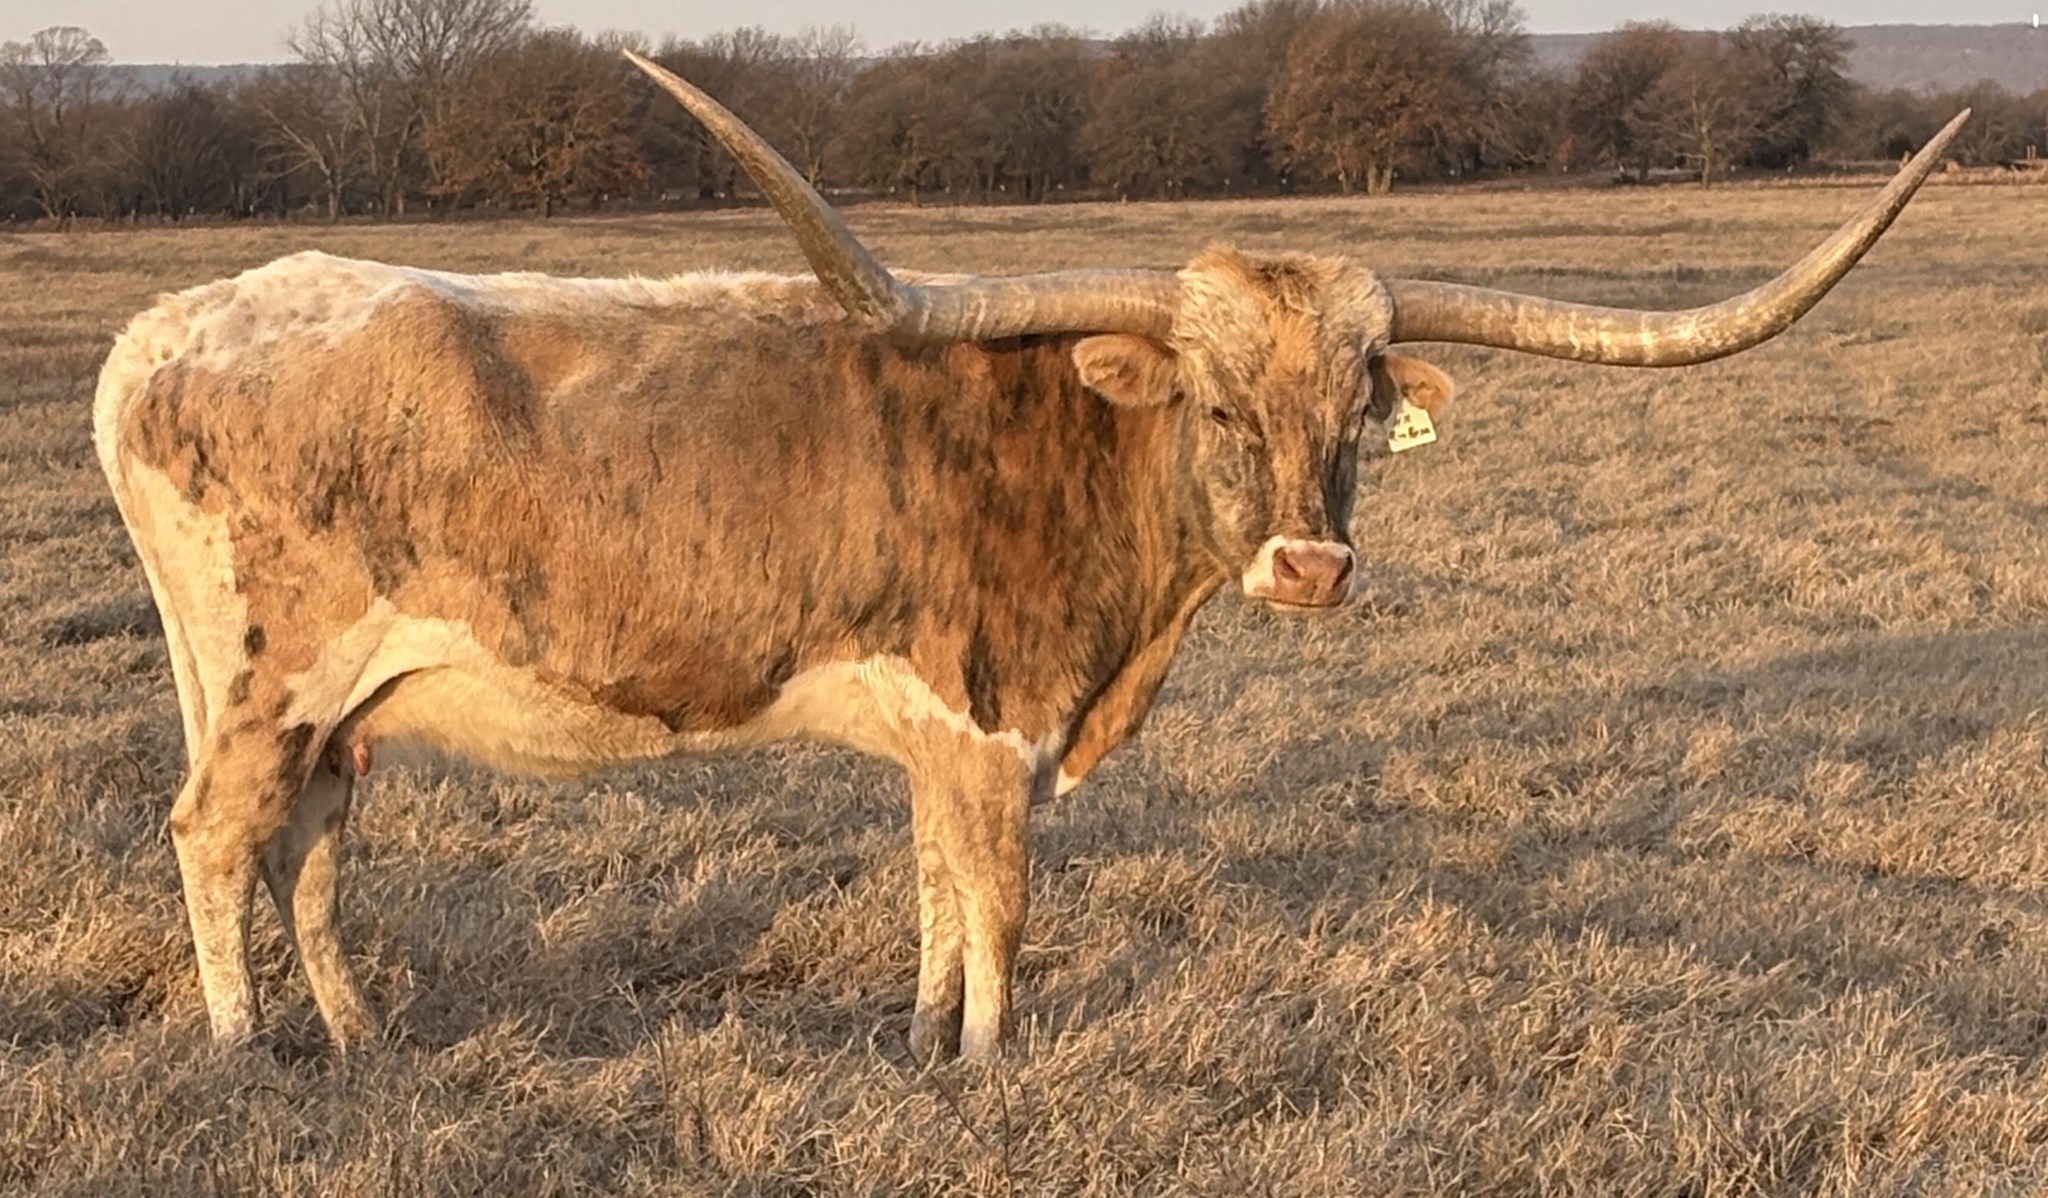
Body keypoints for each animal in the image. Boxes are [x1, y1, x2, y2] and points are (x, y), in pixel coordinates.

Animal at [92, 54, 1967, 1061]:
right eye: (1214, 399)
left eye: (1360, 399)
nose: (1309, 567)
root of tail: (174, 321)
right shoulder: (996, 723)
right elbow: (996, 898)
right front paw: (991, 1058)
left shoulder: (937, 735)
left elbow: (932, 886)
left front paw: (924, 1041)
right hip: (270, 675)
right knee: (210, 836)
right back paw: (246, 1047)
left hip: (330, 708)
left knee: (305, 848)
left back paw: (357, 1035)